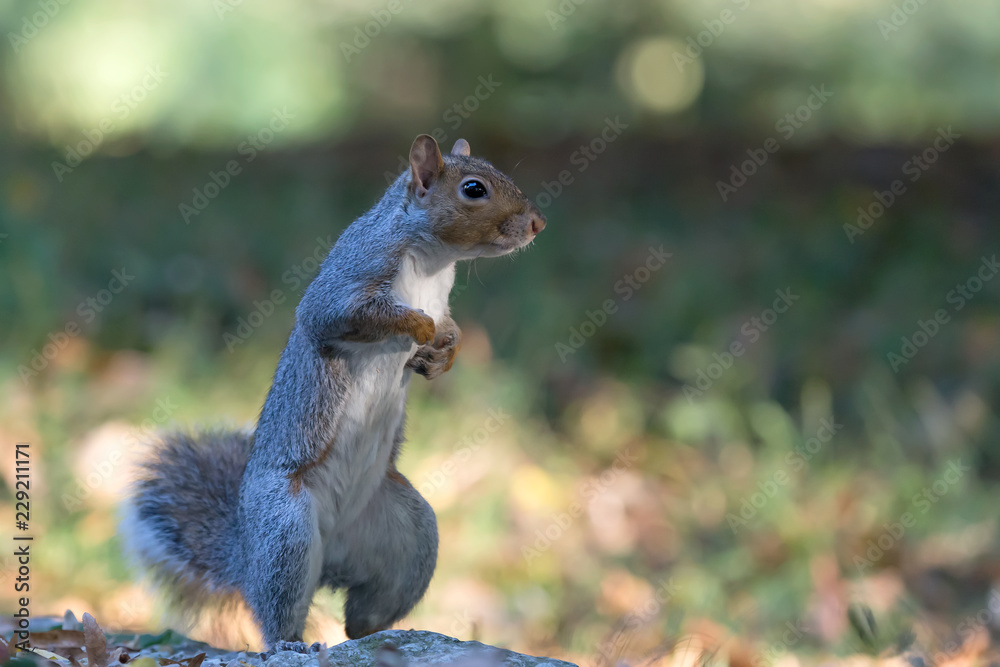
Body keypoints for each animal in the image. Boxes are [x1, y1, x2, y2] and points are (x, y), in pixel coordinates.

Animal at [119, 134, 548, 652]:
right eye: (473, 189)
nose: (538, 222)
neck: (432, 263)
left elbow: (451, 329)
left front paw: (442, 354)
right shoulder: (351, 277)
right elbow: (341, 315)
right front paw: (418, 326)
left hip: (411, 535)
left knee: (363, 613)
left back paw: (381, 635)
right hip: (286, 531)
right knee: (278, 610)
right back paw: (293, 643)